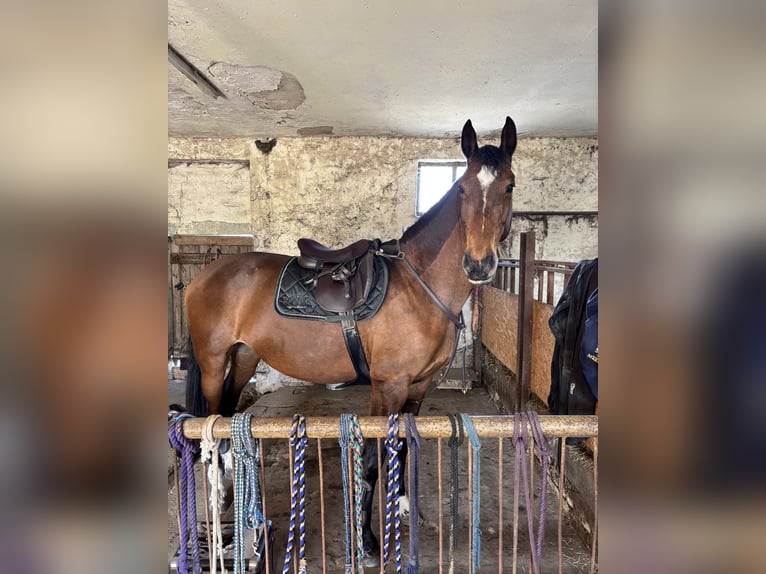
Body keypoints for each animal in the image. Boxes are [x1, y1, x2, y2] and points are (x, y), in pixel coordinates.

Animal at [184, 116, 518, 565]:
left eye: (509, 186)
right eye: (462, 188)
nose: (478, 265)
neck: (420, 286)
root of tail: (207, 273)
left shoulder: (418, 387)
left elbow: (403, 447)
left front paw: (403, 506)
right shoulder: (387, 386)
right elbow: (374, 461)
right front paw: (369, 541)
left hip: (244, 359)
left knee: (227, 421)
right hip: (213, 363)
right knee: (212, 423)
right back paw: (218, 496)